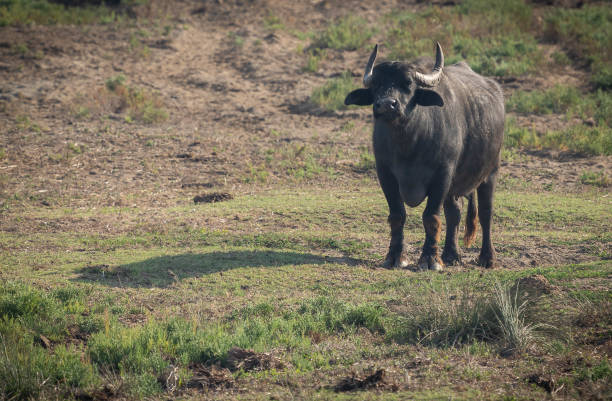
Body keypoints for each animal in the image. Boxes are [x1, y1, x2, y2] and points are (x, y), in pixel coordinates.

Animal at [346, 43, 504, 268]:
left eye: (408, 83)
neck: (409, 144)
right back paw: (451, 254)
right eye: (376, 84)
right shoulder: (385, 173)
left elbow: (431, 217)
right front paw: (395, 257)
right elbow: (397, 215)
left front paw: (430, 259)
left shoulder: (443, 174)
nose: (386, 104)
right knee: (454, 211)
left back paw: (487, 258)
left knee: (485, 213)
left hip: (491, 171)